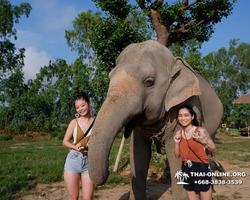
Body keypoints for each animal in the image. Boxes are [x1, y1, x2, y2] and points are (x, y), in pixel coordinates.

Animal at [88, 39, 223, 199]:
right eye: (110, 77)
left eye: (149, 82)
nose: (110, 172)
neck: (173, 62)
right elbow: (138, 155)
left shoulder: (184, 106)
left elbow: (176, 156)